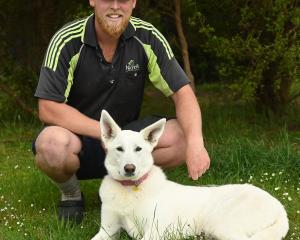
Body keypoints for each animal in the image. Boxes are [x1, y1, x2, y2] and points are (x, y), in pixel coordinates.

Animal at [91, 110, 288, 240]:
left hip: (220, 224)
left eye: (138, 149)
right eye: (119, 149)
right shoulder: (107, 230)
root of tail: (279, 206)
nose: (129, 168)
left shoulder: (153, 231)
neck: (130, 189)